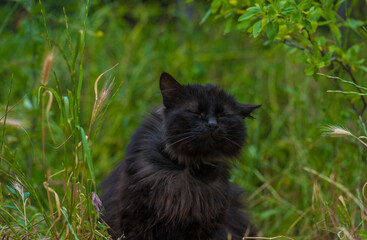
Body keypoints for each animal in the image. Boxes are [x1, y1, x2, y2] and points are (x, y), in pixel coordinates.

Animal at [100, 72, 262, 240]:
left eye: (223, 115)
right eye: (196, 112)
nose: (212, 124)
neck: (186, 168)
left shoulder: (205, 222)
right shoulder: (135, 213)